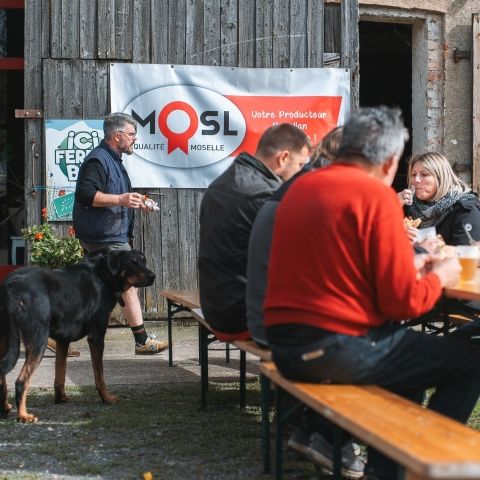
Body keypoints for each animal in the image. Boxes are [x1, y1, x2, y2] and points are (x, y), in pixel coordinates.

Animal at [0, 249, 155, 422]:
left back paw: (5, 408)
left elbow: (60, 374)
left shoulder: (63, 340)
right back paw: (23, 415)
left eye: (143, 261)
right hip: (38, 339)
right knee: (21, 380)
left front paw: (60, 398)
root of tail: (11, 285)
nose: (153, 276)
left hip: (6, 340)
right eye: (131, 262)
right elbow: (100, 375)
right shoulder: (96, 336)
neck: (105, 274)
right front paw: (106, 398)